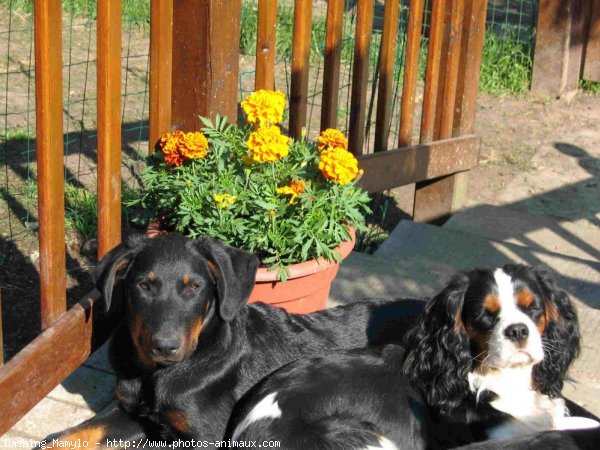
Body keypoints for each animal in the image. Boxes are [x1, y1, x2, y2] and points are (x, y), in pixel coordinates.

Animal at [44, 234, 424, 444]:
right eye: (144, 285)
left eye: (194, 287)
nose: (165, 346)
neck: (155, 374)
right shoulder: (137, 413)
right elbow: (72, 434)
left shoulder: (206, 436)